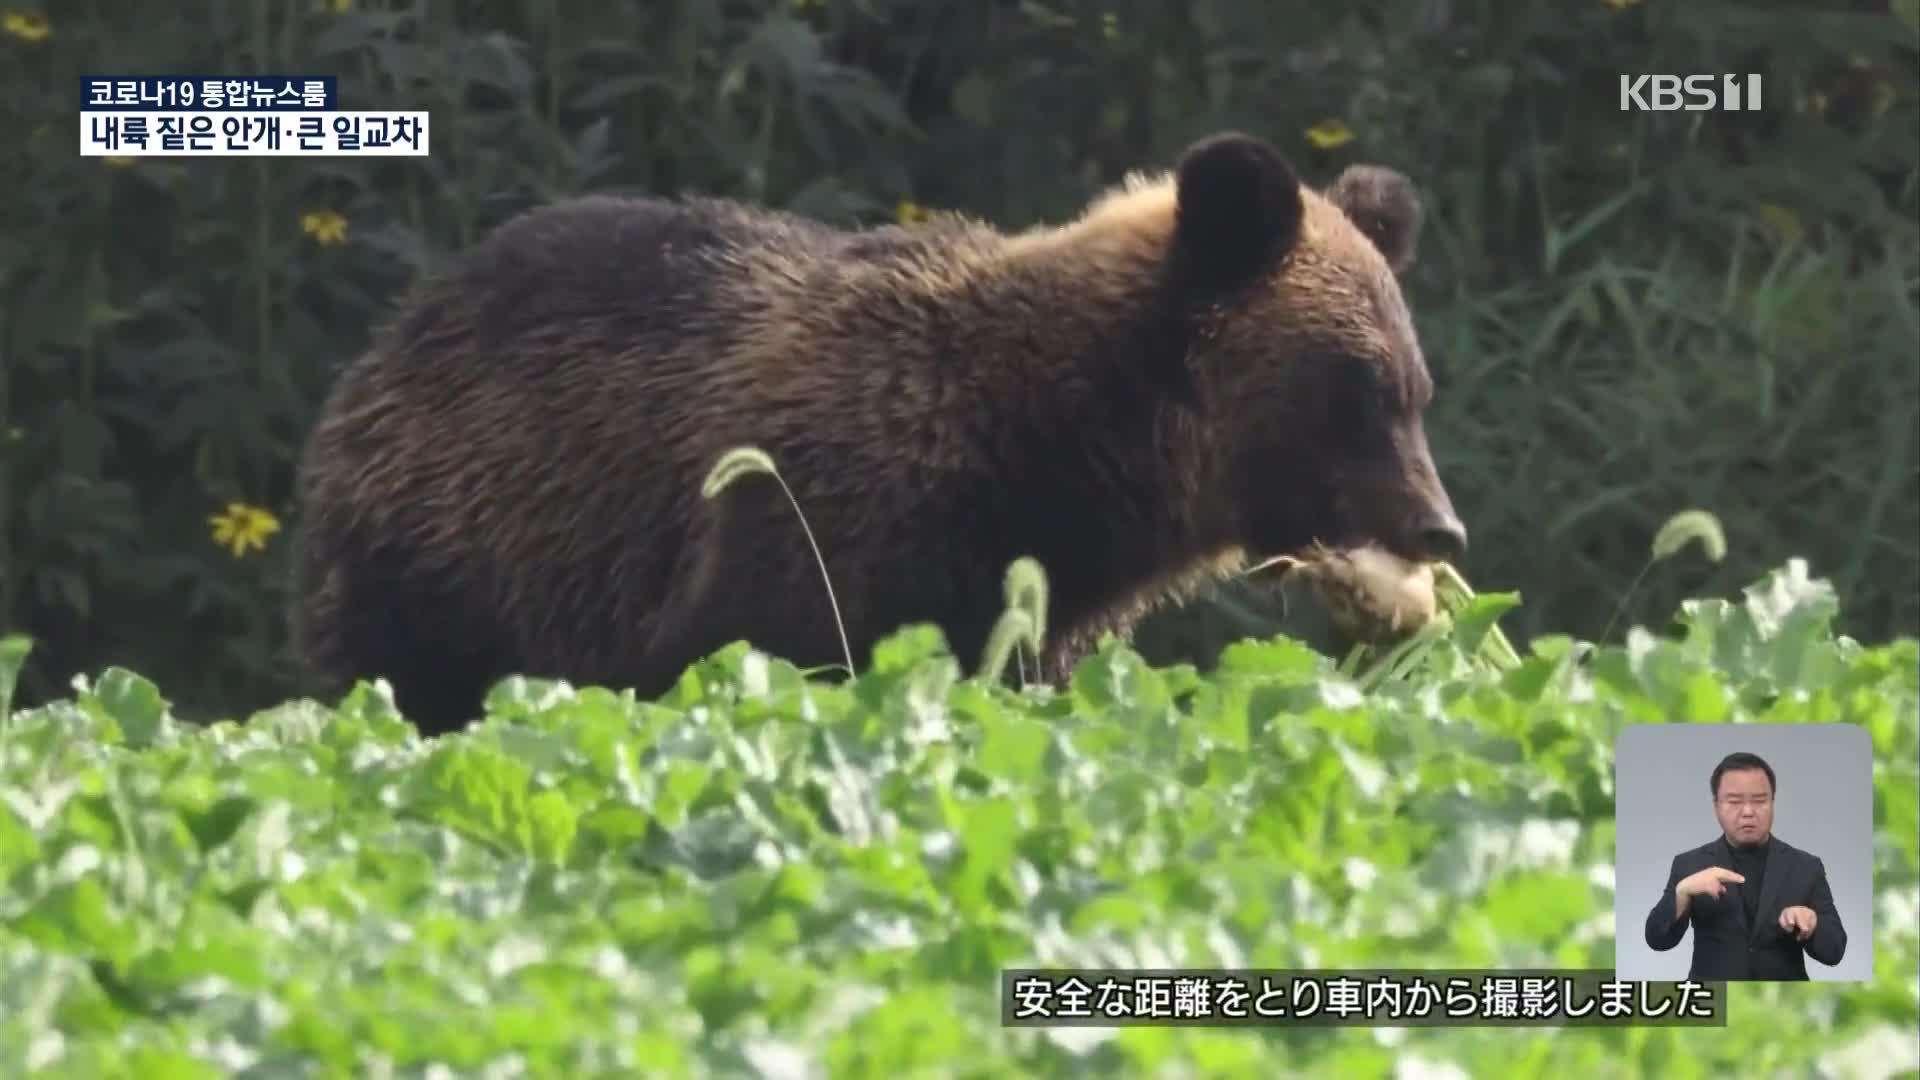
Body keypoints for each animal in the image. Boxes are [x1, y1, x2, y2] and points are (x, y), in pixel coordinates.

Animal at [284, 127, 1459, 730]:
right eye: (1353, 388)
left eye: (1413, 387)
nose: (1437, 527)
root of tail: (395, 328)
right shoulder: (810, 538)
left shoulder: (1028, 618)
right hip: (459, 560)